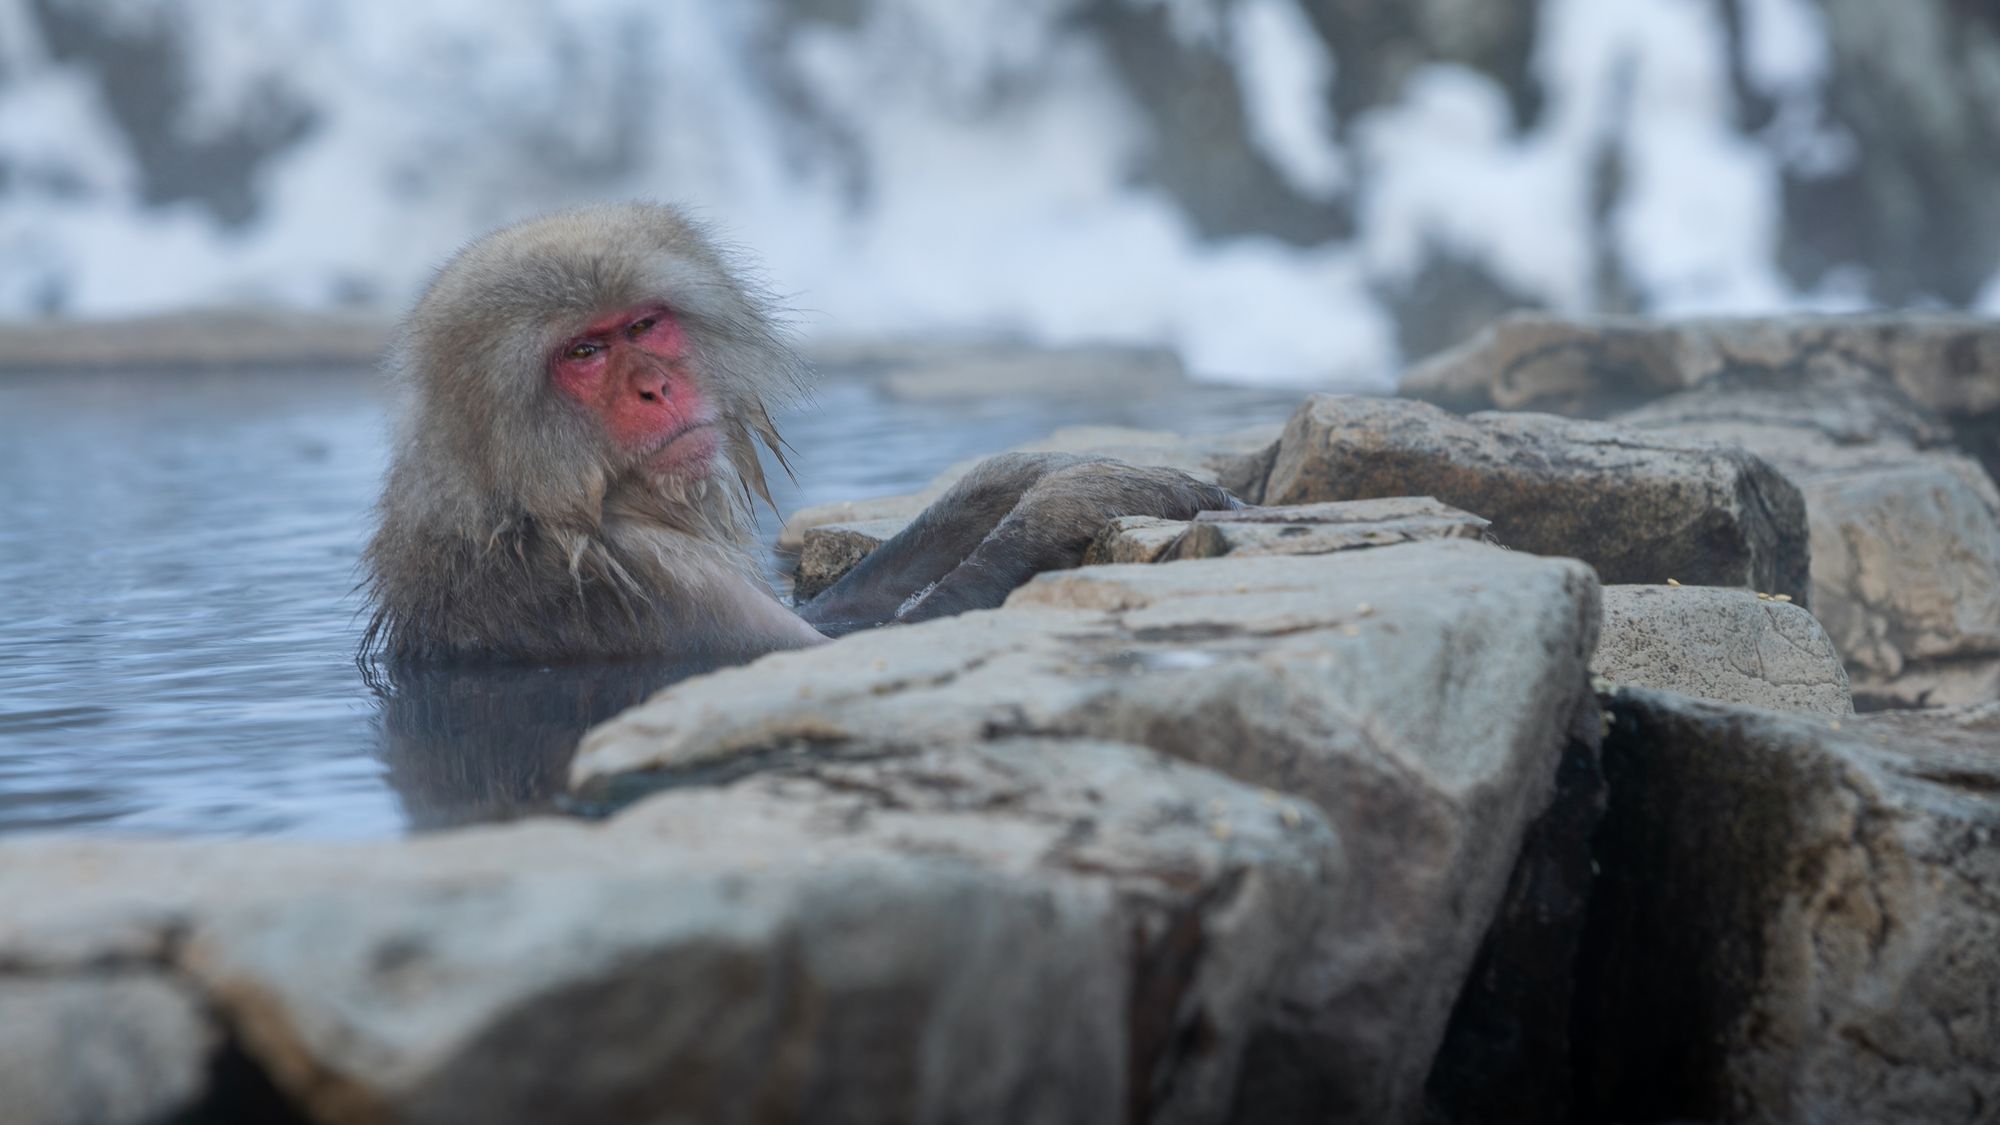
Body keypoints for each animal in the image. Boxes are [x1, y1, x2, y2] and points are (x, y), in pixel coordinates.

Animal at [362, 199, 1232, 664]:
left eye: (643, 324)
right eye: (583, 352)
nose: (655, 387)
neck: (528, 506)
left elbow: (842, 613)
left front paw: (1022, 477)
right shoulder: (650, 581)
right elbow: (834, 653)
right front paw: (1072, 502)